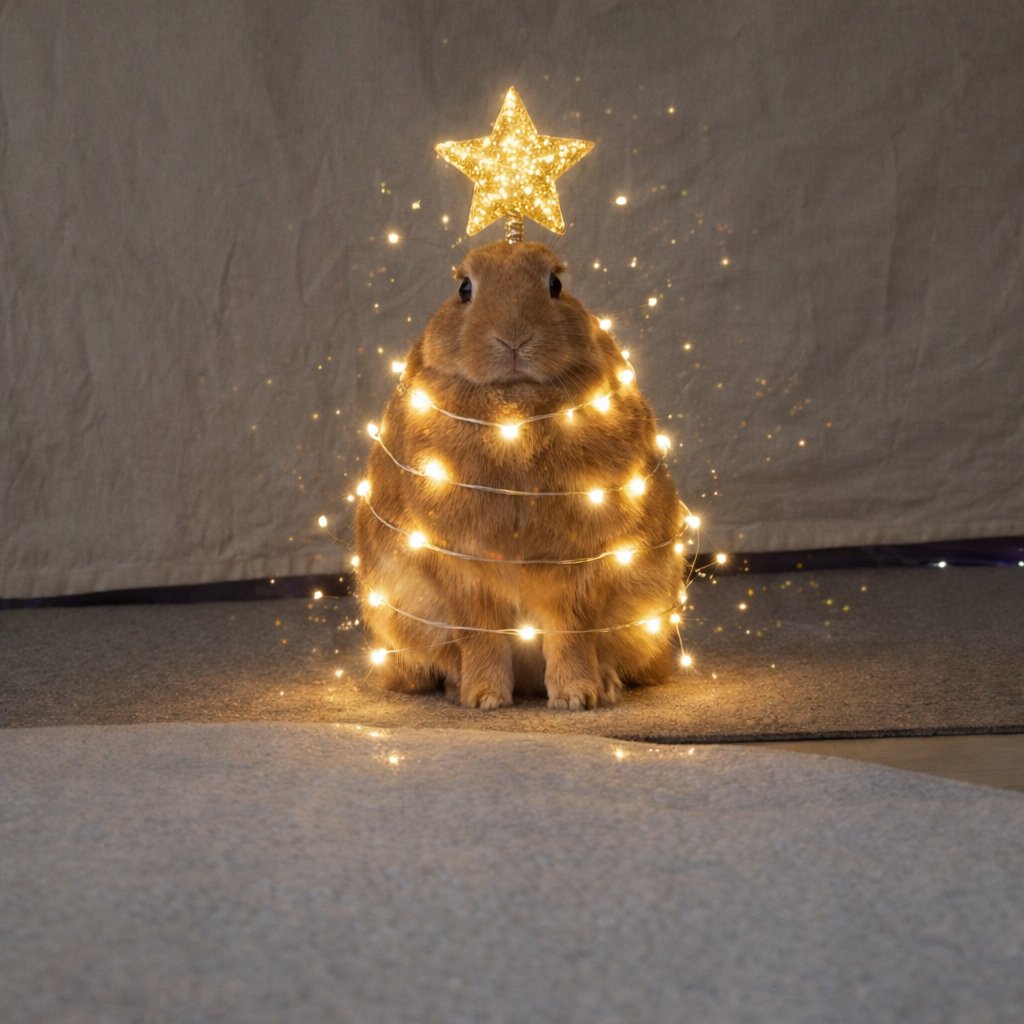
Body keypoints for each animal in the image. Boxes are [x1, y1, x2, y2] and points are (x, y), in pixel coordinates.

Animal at [353, 240, 687, 710]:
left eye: (555, 284)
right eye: (464, 288)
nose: (513, 338)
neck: (513, 406)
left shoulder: (577, 566)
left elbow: (571, 632)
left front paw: (577, 697)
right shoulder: (464, 571)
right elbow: (481, 635)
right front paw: (484, 698)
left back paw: (605, 684)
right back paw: (459, 686)